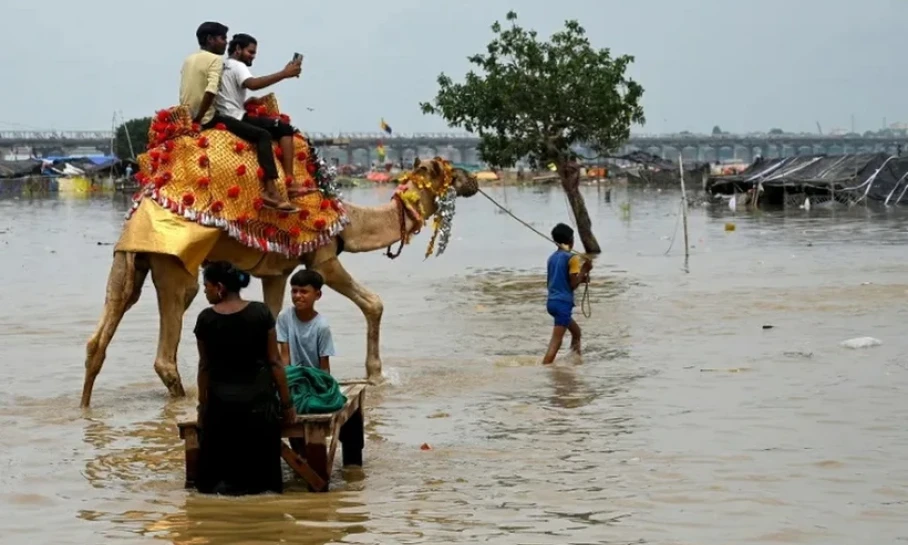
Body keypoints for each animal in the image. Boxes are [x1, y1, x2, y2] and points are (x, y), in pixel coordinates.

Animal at [81, 95, 478, 406]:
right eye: (447, 170)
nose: (473, 179)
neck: (347, 218)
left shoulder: (277, 270)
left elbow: (272, 321)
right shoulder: (323, 256)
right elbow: (374, 302)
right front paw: (376, 376)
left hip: (129, 262)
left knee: (100, 335)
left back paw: (85, 405)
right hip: (173, 266)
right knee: (166, 351)